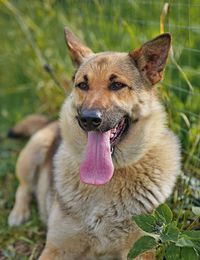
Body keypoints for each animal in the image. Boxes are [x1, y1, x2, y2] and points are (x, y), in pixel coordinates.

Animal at [7, 27, 180, 258]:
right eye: (83, 85)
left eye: (116, 85)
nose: (88, 119)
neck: (106, 180)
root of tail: (49, 122)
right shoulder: (56, 248)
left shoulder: (140, 250)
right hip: (33, 152)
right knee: (24, 187)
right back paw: (19, 213)